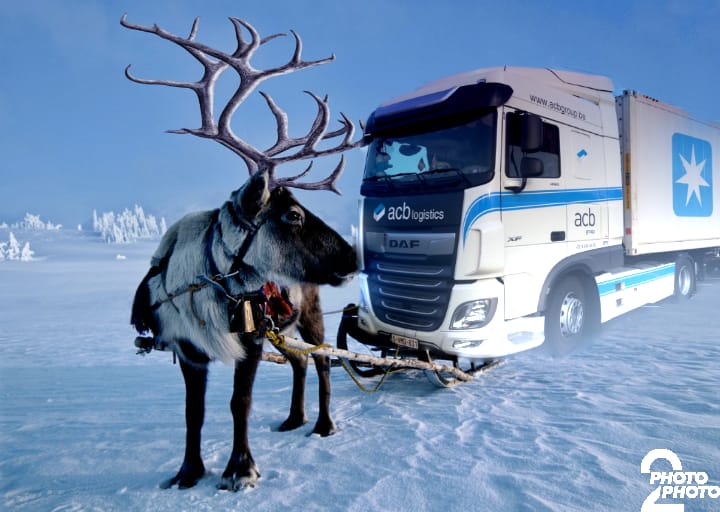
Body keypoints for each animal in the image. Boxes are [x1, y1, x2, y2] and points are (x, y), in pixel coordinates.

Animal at [121, 14, 360, 490]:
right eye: (292, 215)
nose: (355, 257)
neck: (204, 286)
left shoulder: (249, 340)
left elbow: (240, 402)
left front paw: (240, 469)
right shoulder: (188, 351)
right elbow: (193, 412)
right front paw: (188, 471)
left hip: (310, 314)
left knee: (323, 360)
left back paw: (323, 425)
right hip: (283, 328)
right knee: (298, 363)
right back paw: (293, 419)